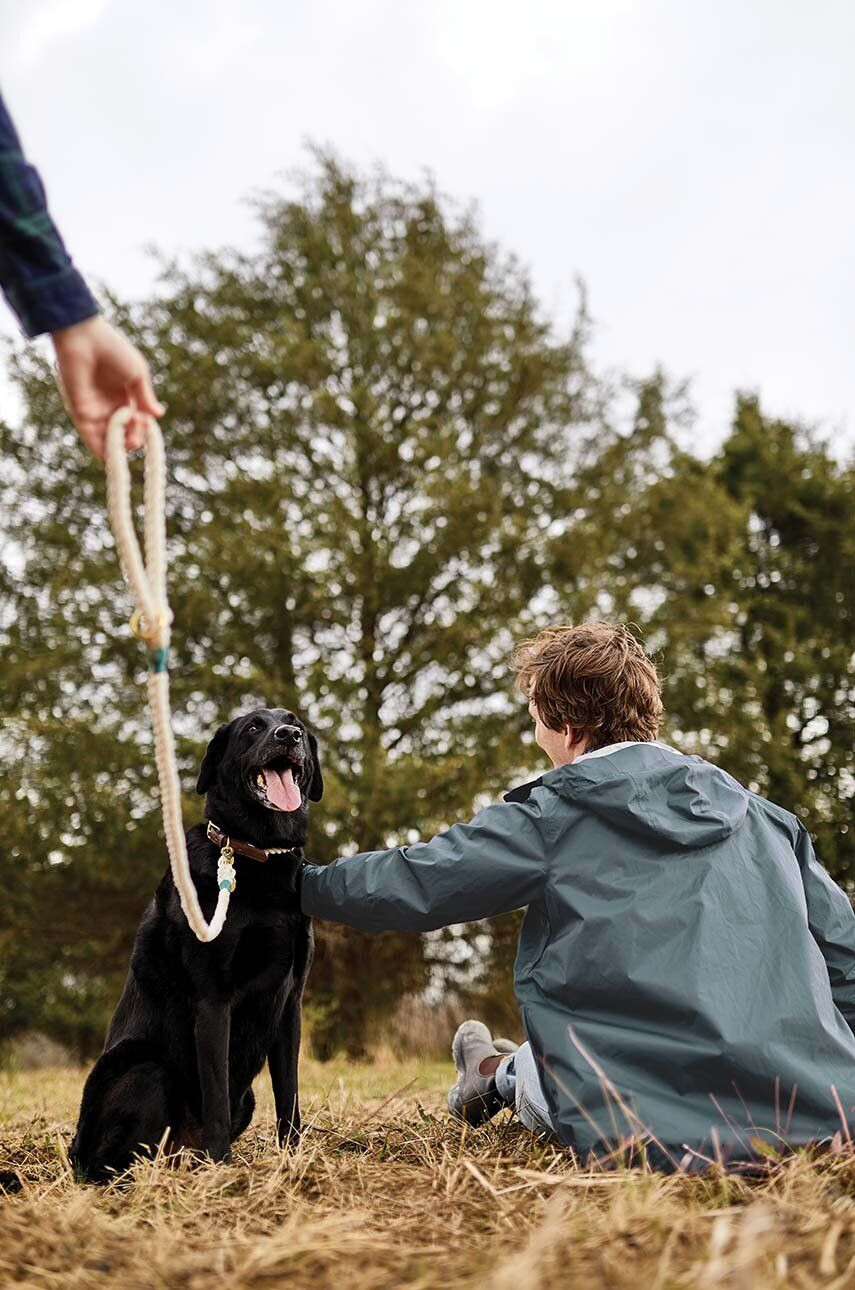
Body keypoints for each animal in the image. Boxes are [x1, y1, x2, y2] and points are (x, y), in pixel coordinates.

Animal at [70, 712, 322, 1181]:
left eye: (294, 722)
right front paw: (223, 1166)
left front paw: (294, 1159)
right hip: (146, 1068)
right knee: (110, 1164)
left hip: (242, 1097)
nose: (289, 736)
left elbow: (289, 1096)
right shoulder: (213, 1000)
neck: (257, 855)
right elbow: (216, 1096)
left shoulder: (289, 1004)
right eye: (253, 728)